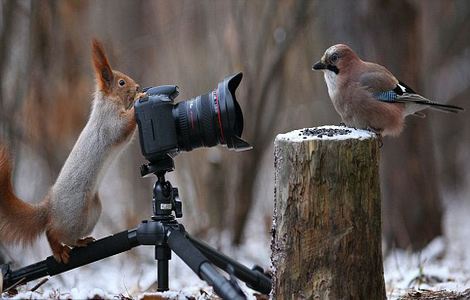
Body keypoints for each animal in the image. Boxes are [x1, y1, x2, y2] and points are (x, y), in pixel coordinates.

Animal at [0, 39, 141, 262]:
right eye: (121, 83)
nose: (137, 87)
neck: (108, 103)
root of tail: (50, 208)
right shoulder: (109, 123)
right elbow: (122, 127)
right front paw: (139, 101)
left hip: (92, 212)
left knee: (68, 236)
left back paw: (82, 242)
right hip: (76, 214)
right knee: (52, 232)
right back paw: (59, 250)